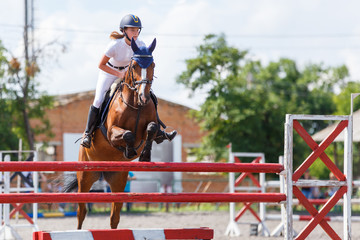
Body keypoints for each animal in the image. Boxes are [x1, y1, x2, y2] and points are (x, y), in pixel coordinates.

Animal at [64, 38, 159, 230]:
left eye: (152, 64)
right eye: (134, 65)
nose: (144, 97)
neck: (135, 104)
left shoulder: (147, 129)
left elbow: (151, 129)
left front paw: (145, 155)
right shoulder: (111, 133)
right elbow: (128, 135)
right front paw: (129, 151)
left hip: (118, 180)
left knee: (114, 216)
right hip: (85, 177)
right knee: (81, 212)